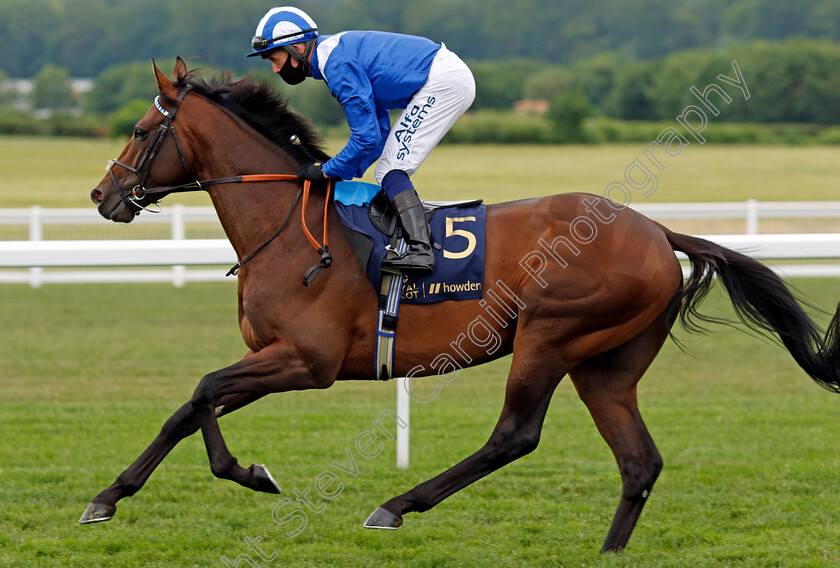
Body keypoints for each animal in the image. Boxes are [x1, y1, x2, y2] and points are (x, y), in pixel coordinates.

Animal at [80, 60, 840, 552]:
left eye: (143, 130)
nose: (102, 195)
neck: (287, 226)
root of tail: (657, 231)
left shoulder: (306, 360)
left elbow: (204, 391)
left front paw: (251, 474)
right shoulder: (271, 355)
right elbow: (189, 405)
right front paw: (107, 498)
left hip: (551, 336)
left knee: (515, 436)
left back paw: (396, 506)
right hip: (607, 365)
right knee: (638, 462)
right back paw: (608, 551)